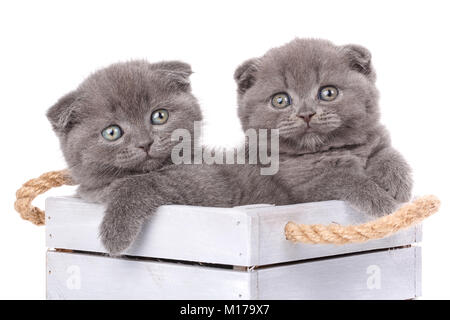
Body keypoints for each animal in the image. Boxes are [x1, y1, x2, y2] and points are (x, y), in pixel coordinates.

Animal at [47, 61, 290, 254]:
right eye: (112, 132)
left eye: (159, 116)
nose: (145, 143)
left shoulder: (210, 181)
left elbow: (142, 182)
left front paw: (115, 233)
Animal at [234, 38, 414, 216]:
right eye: (280, 100)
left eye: (328, 93)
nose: (306, 114)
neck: (332, 149)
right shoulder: (302, 185)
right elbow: (340, 179)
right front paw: (379, 200)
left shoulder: (377, 138)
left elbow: (388, 153)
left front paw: (395, 182)